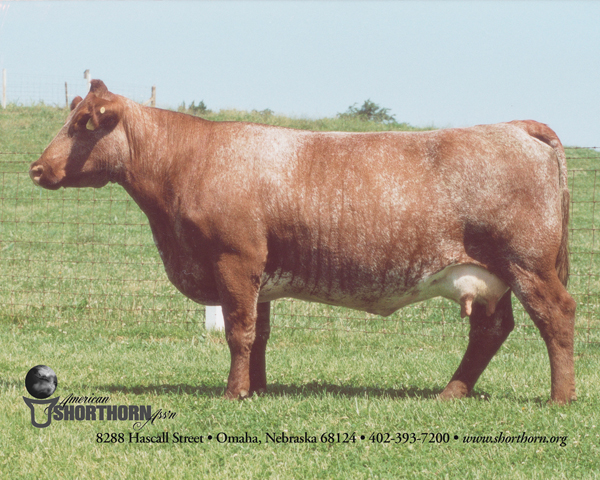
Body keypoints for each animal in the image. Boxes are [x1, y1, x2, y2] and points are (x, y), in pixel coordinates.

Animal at [29, 80, 576, 404]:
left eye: (83, 124)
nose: (36, 168)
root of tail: (515, 127)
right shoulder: (258, 272)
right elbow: (260, 333)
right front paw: (257, 388)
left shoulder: (234, 260)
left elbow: (239, 331)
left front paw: (233, 395)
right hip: (490, 275)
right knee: (492, 329)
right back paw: (452, 392)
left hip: (528, 264)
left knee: (556, 316)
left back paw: (560, 397)